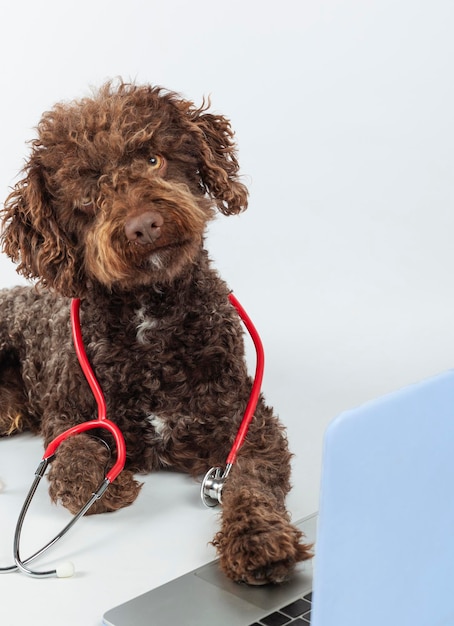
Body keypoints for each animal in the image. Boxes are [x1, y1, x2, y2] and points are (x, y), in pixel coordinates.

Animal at [0, 80, 312, 584]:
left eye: (152, 159)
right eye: (88, 195)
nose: (143, 226)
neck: (150, 319)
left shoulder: (249, 424)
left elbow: (251, 484)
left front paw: (258, 540)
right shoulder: (67, 412)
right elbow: (72, 455)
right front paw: (103, 483)